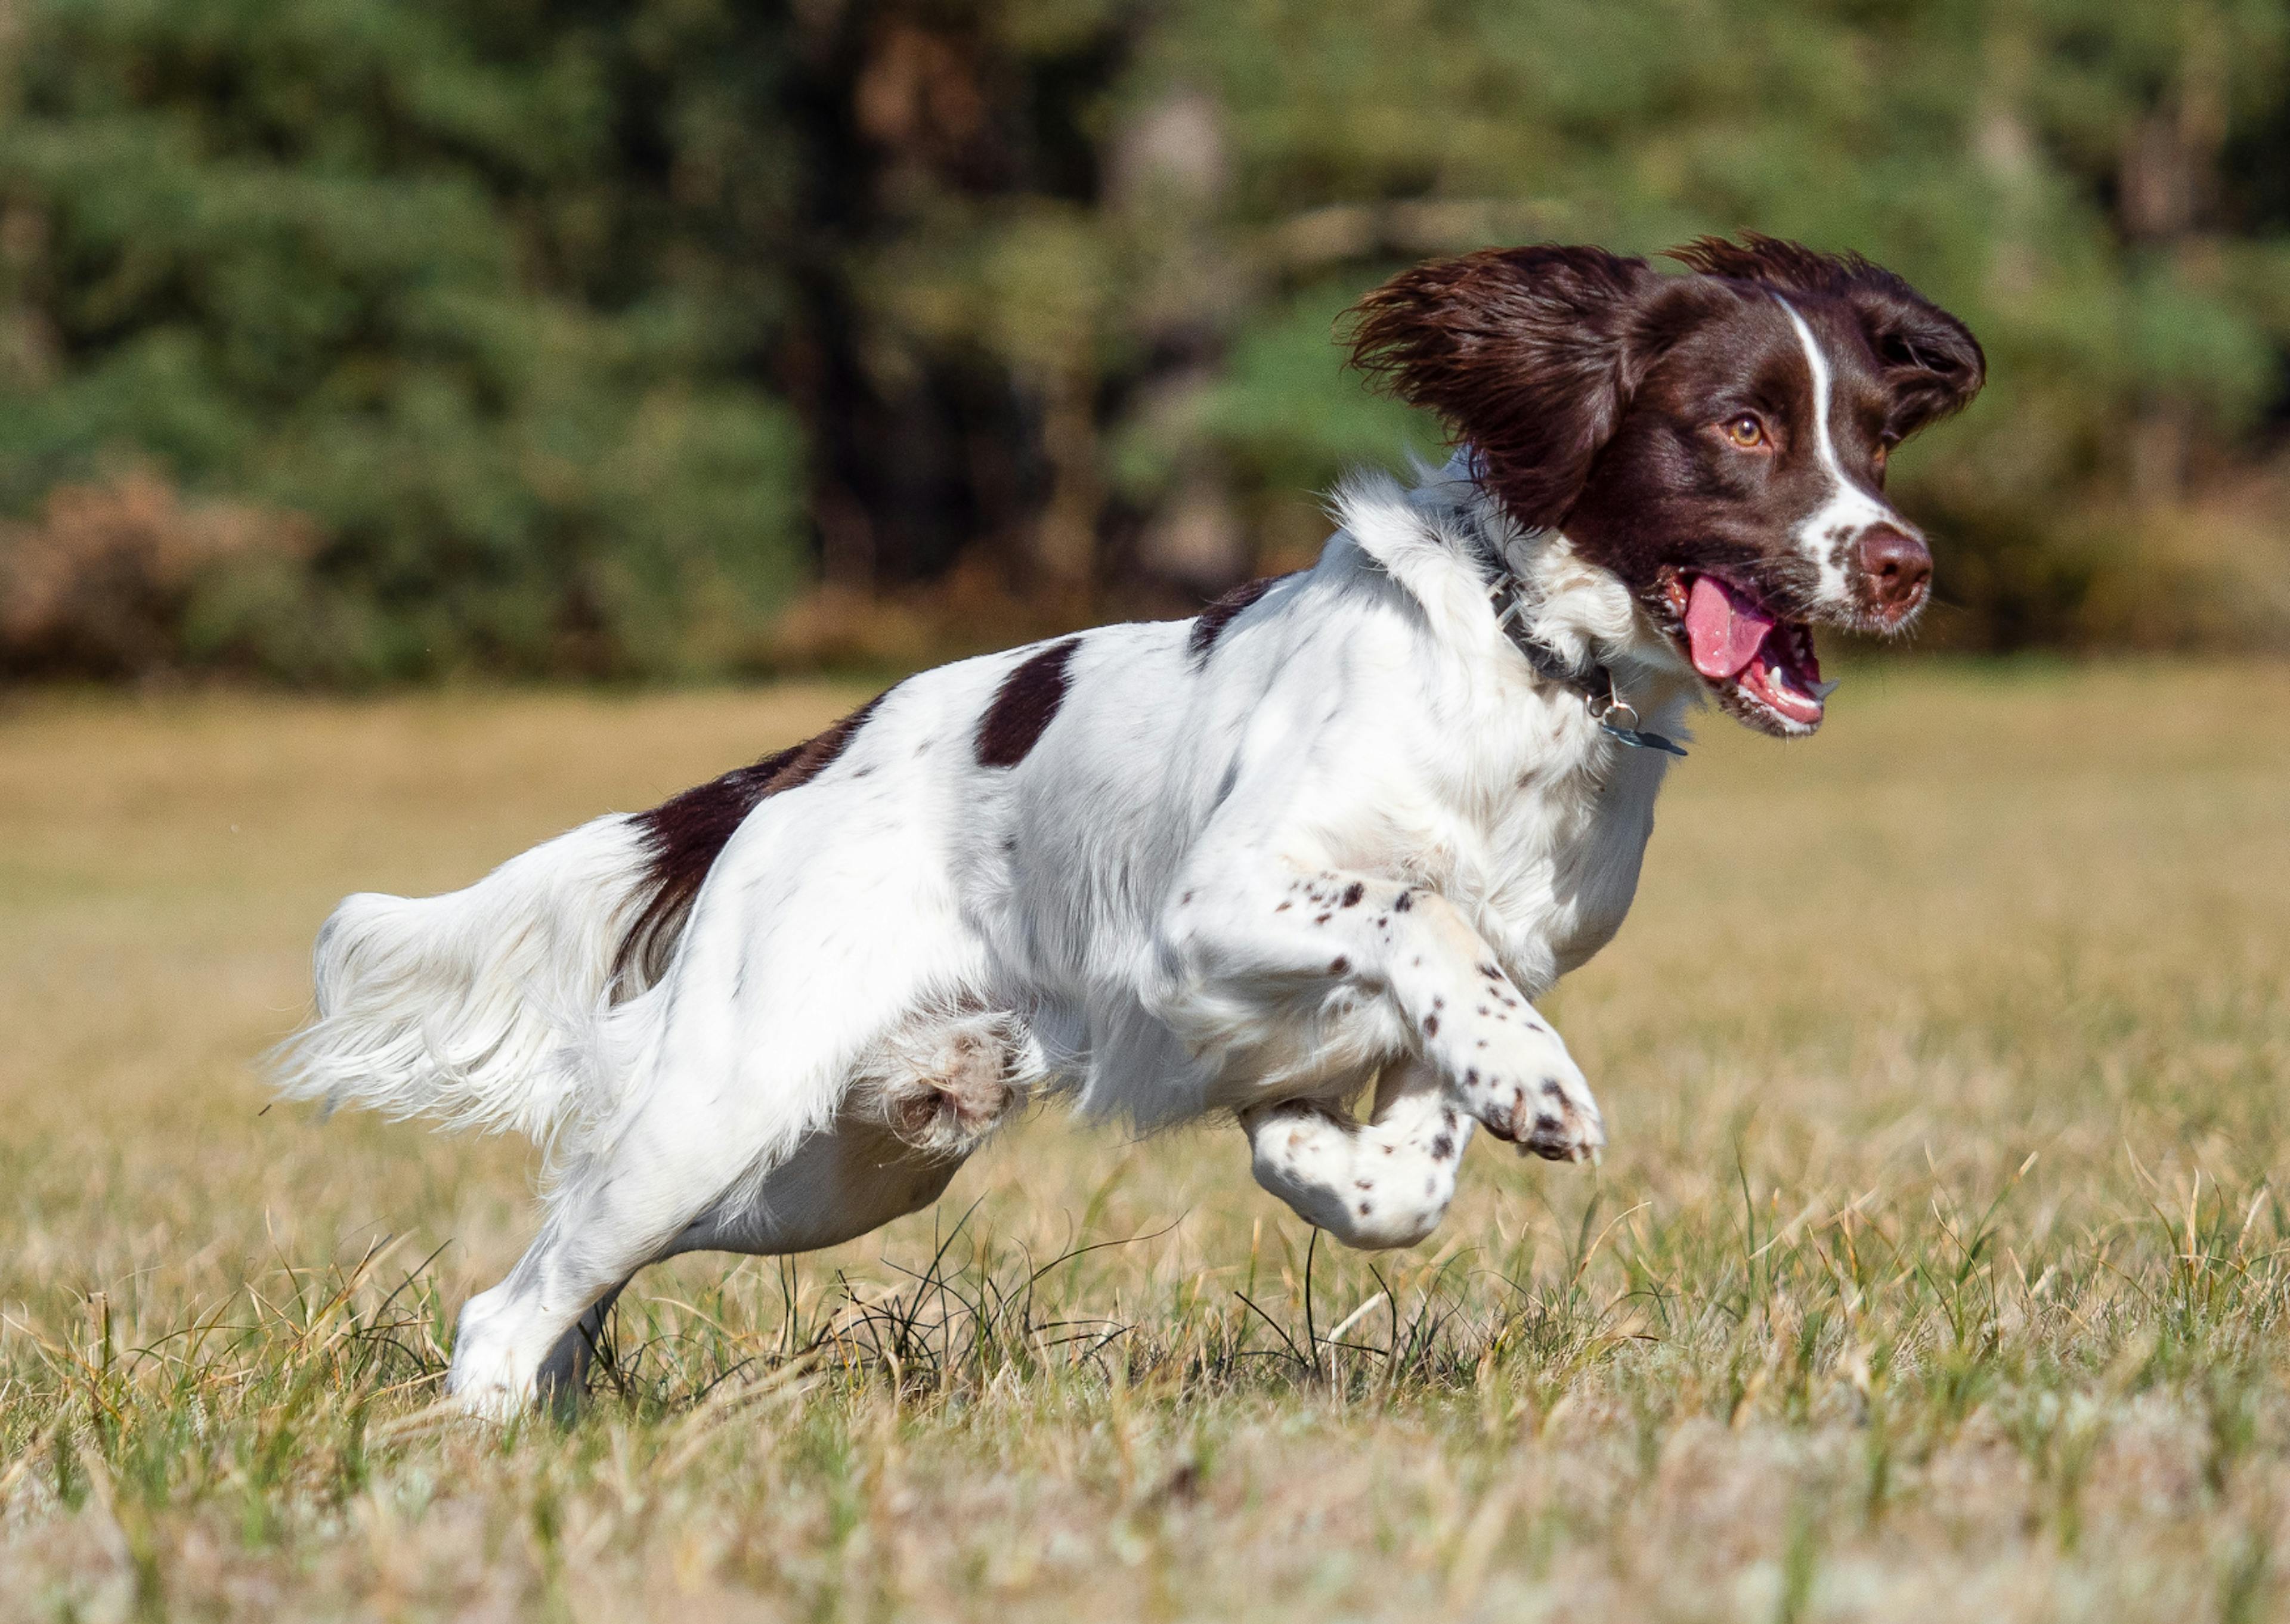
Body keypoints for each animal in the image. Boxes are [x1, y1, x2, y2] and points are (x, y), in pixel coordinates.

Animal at [272, 234, 1988, 1411]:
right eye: (1743, 428)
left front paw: (1339, 1154)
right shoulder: (1212, 909)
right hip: (723, 1103)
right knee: (514, 1297)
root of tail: (805, 761)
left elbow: (1414, 1131)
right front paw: (1532, 1088)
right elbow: (1418, 911)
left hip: (836, 1169)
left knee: (576, 1268)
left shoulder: (1498, 957)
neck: (1526, 675)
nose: (1903, 563)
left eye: (1873, 438)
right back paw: (486, 1445)